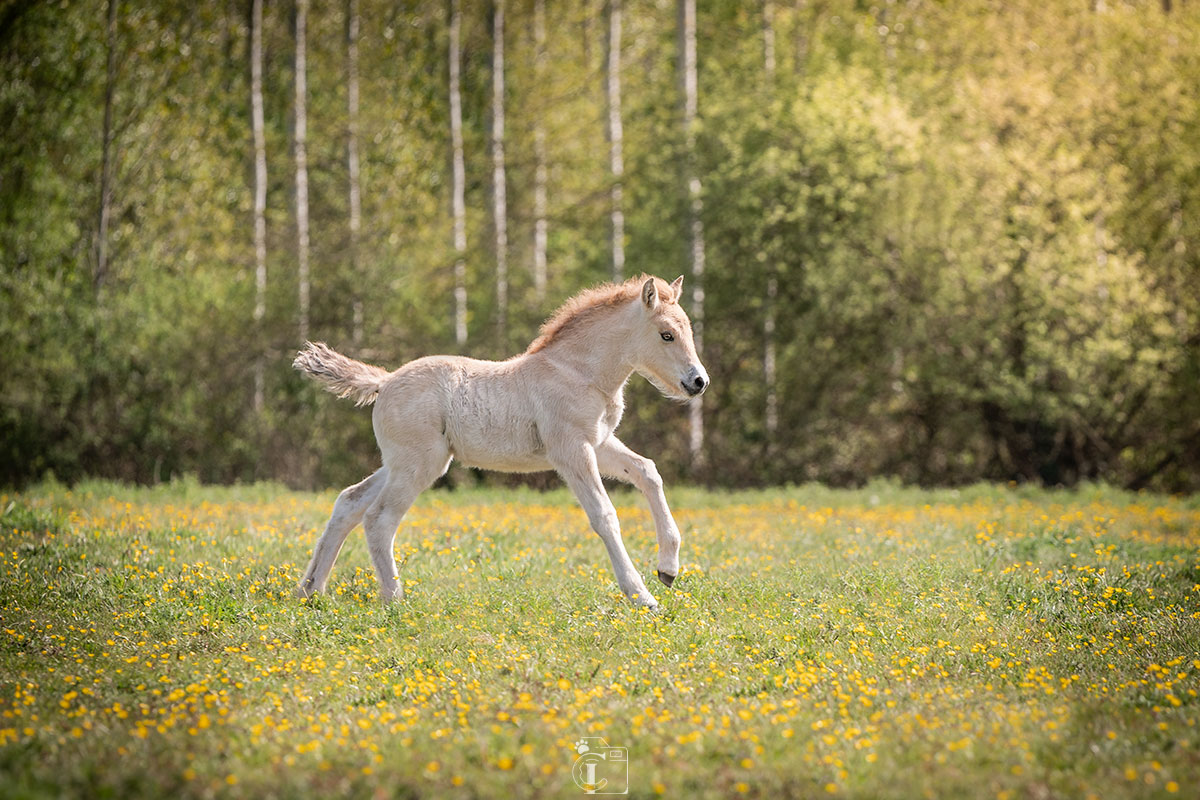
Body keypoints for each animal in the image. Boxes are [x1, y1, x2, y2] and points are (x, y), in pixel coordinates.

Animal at [292, 273, 700, 606]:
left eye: (689, 331)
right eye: (666, 334)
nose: (698, 382)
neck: (578, 372)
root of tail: (386, 380)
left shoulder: (599, 443)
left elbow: (648, 472)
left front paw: (668, 568)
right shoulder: (571, 449)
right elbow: (604, 515)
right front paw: (642, 596)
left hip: (401, 463)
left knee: (349, 501)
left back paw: (310, 591)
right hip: (419, 464)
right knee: (379, 518)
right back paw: (394, 599)